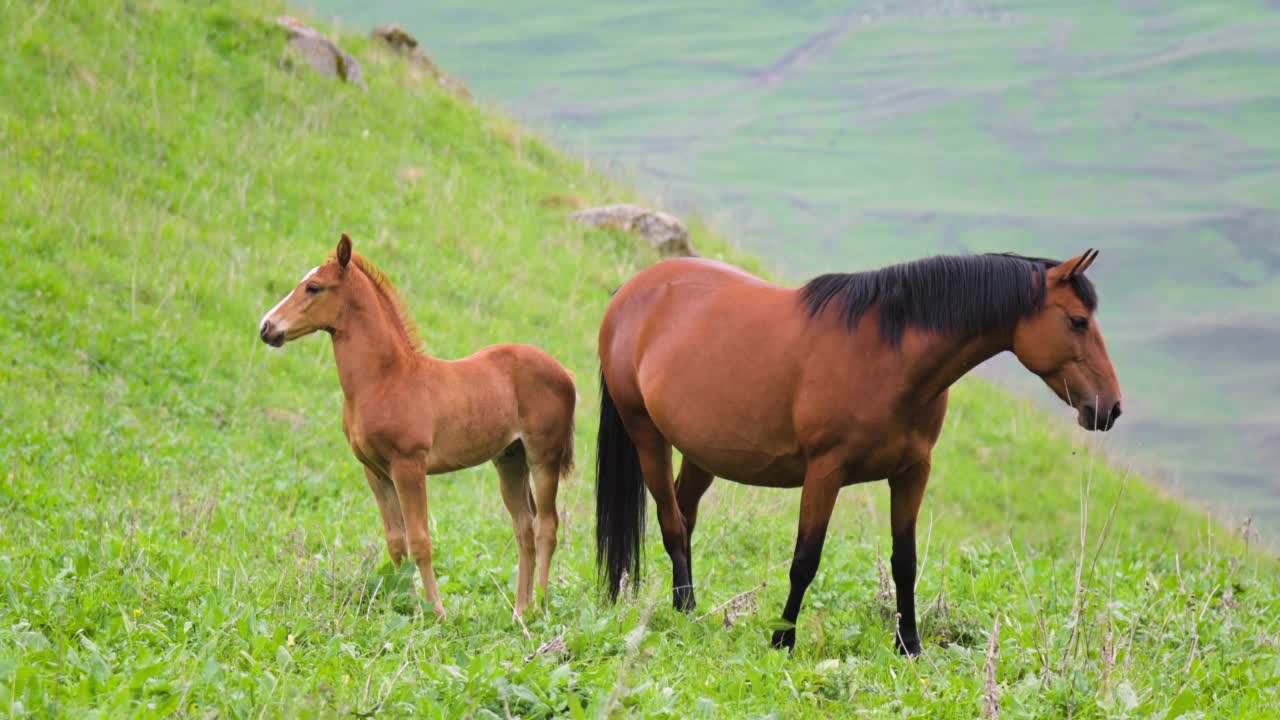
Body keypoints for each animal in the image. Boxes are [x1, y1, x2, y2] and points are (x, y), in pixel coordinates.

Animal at [258, 233, 576, 614]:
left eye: (313, 287)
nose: (266, 328)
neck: (385, 379)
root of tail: (565, 373)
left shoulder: (409, 465)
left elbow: (421, 539)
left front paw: (436, 611)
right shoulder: (376, 471)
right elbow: (397, 541)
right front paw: (402, 603)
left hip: (544, 457)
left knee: (547, 526)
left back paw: (540, 605)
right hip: (510, 460)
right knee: (523, 528)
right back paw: (520, 611)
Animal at [591, 249, 1121, 653]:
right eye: (1077, 321)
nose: (1110, 408)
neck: (889, 356)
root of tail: (631, 292)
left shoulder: (912, 472)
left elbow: (904, 562)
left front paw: (909, 645)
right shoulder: (826, 472)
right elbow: (805, 560)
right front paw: (782, 640)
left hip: (701, 453)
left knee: (685, 515)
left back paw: (687, 605)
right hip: (647, 436)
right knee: (672, 524)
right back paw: (686, 611)